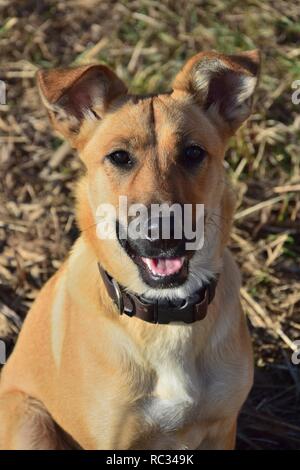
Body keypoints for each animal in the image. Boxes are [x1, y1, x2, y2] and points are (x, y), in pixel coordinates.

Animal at [0, 49, 260, 450]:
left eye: (193, 153)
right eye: (120, 157)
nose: (163, 233)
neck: (167, 318)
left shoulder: (222, 428)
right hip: (30, 422)